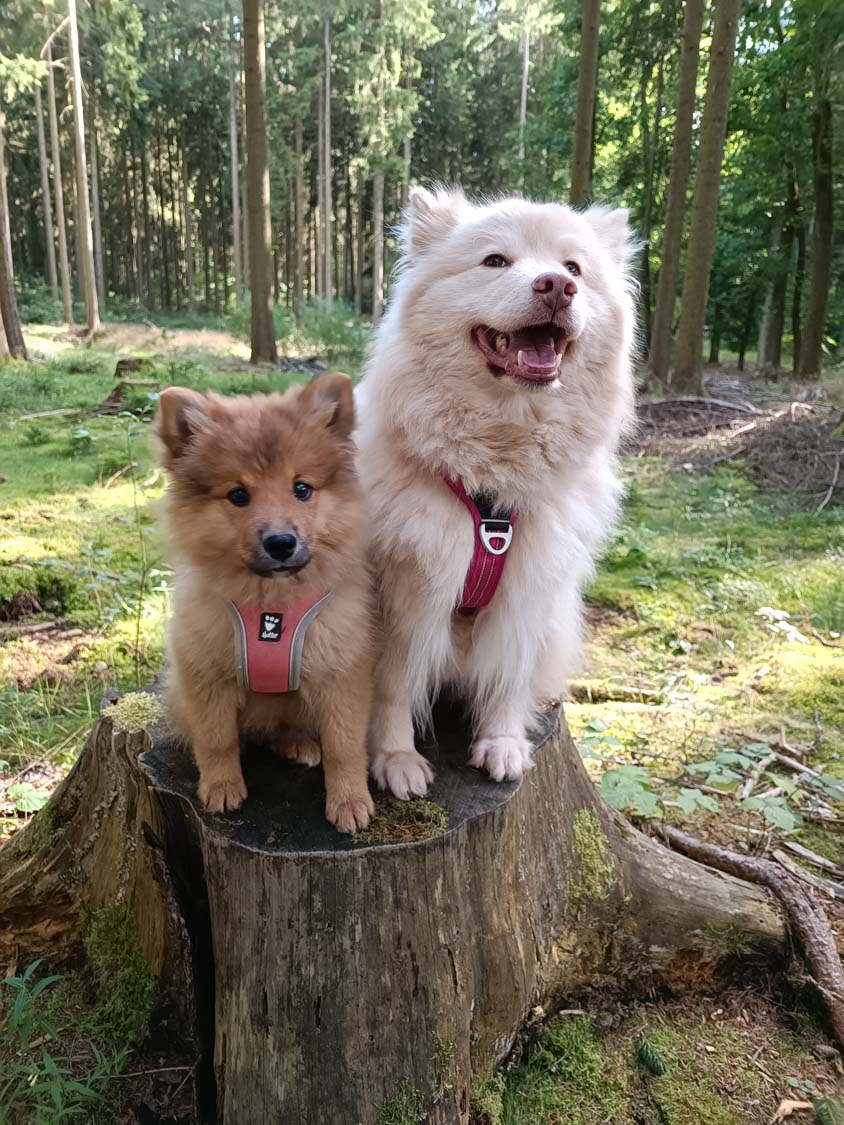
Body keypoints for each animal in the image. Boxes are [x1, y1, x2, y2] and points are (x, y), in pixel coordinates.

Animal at [155, 373, 375, 833]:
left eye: (302, 489)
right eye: (238, 495)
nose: (280, 542)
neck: (270, 605)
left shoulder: (341, 673)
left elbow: (344, 746)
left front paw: (349, 801)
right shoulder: (206, 674)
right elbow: (216, 739)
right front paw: (221, 786)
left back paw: (299, 743)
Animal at [356, 186, 636, 798]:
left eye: (574, 268)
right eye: (495, 261)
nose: (556, 285)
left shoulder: (530, 585)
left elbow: (510, 672)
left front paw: (503, 743)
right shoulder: (404, 592)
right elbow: (391, 685)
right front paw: (395, 759)